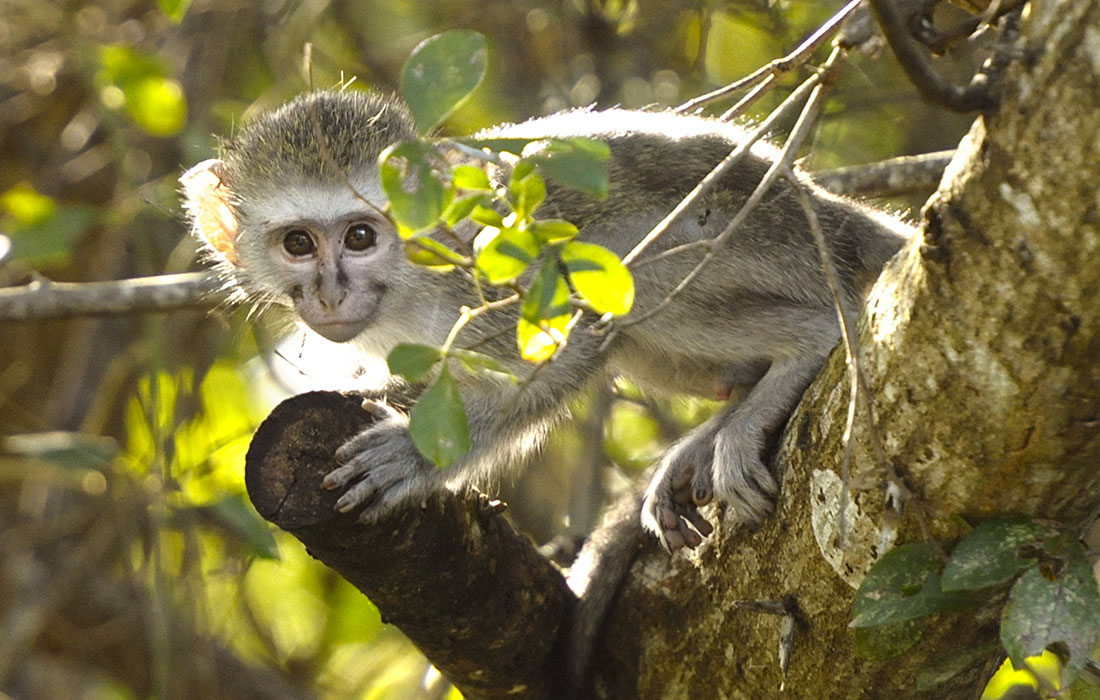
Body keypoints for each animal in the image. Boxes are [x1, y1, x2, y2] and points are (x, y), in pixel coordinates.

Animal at [182, 91, 910, 552]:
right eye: (298, 244)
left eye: (361, 236)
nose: (330, 296)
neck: (410, 286)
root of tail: (831, 213)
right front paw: (379, 388)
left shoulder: (487, 280)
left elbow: (575, 344)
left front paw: (417, 454)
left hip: (771, 249)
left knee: (626, 275)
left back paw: (804, 344)